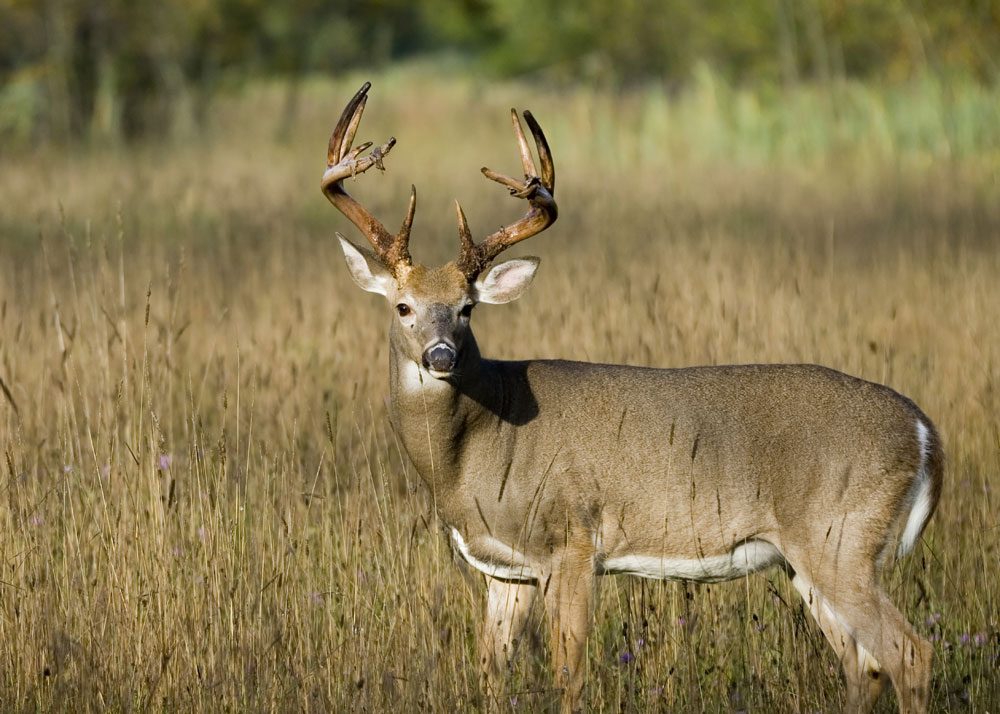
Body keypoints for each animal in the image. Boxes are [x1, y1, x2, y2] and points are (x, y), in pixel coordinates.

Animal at [322, 83, 944, 712]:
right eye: (403, 305)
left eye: (467, 307)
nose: (441, 356)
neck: (475, 447)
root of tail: (925, 433)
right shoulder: (506, 569)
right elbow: (490, 669)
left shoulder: (570, 542)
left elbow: (569, 672)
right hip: (807, 557)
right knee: (863, 665)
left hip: (840, 538)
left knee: (909, 652)